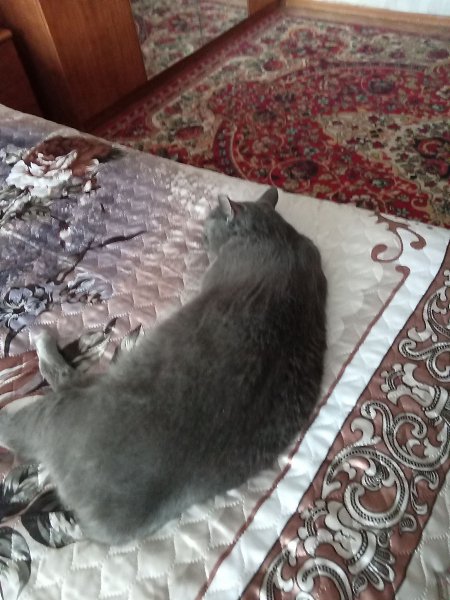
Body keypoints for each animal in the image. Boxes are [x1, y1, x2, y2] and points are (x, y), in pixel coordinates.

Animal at [0, 186, 327, 545]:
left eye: (208, 226)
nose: (201, 233)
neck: (276, 236)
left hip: (61, 405)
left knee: (41, 396)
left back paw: (41, 344)